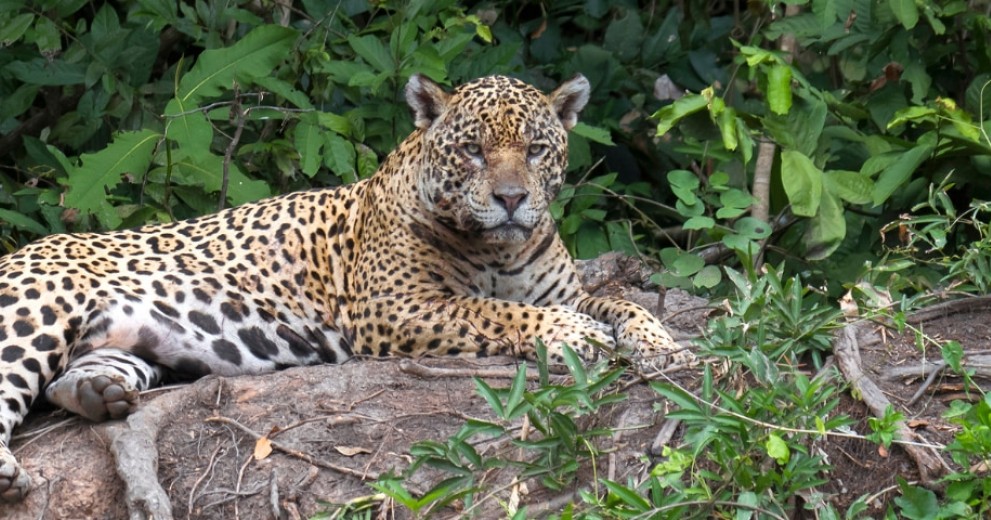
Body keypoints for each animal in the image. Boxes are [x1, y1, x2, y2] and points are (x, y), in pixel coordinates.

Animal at [0, 74, 693, 502]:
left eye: (536, 150)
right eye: (472, 150)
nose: (511, 199)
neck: (502, 248)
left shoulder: (560, 290)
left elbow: (623, 303)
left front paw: (666, 347)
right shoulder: (397, 310)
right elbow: (493, 309)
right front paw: (574, 335)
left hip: (122, 344)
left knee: (69, 381)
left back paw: (99, 396)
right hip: (40, 310)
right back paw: (11, 472)